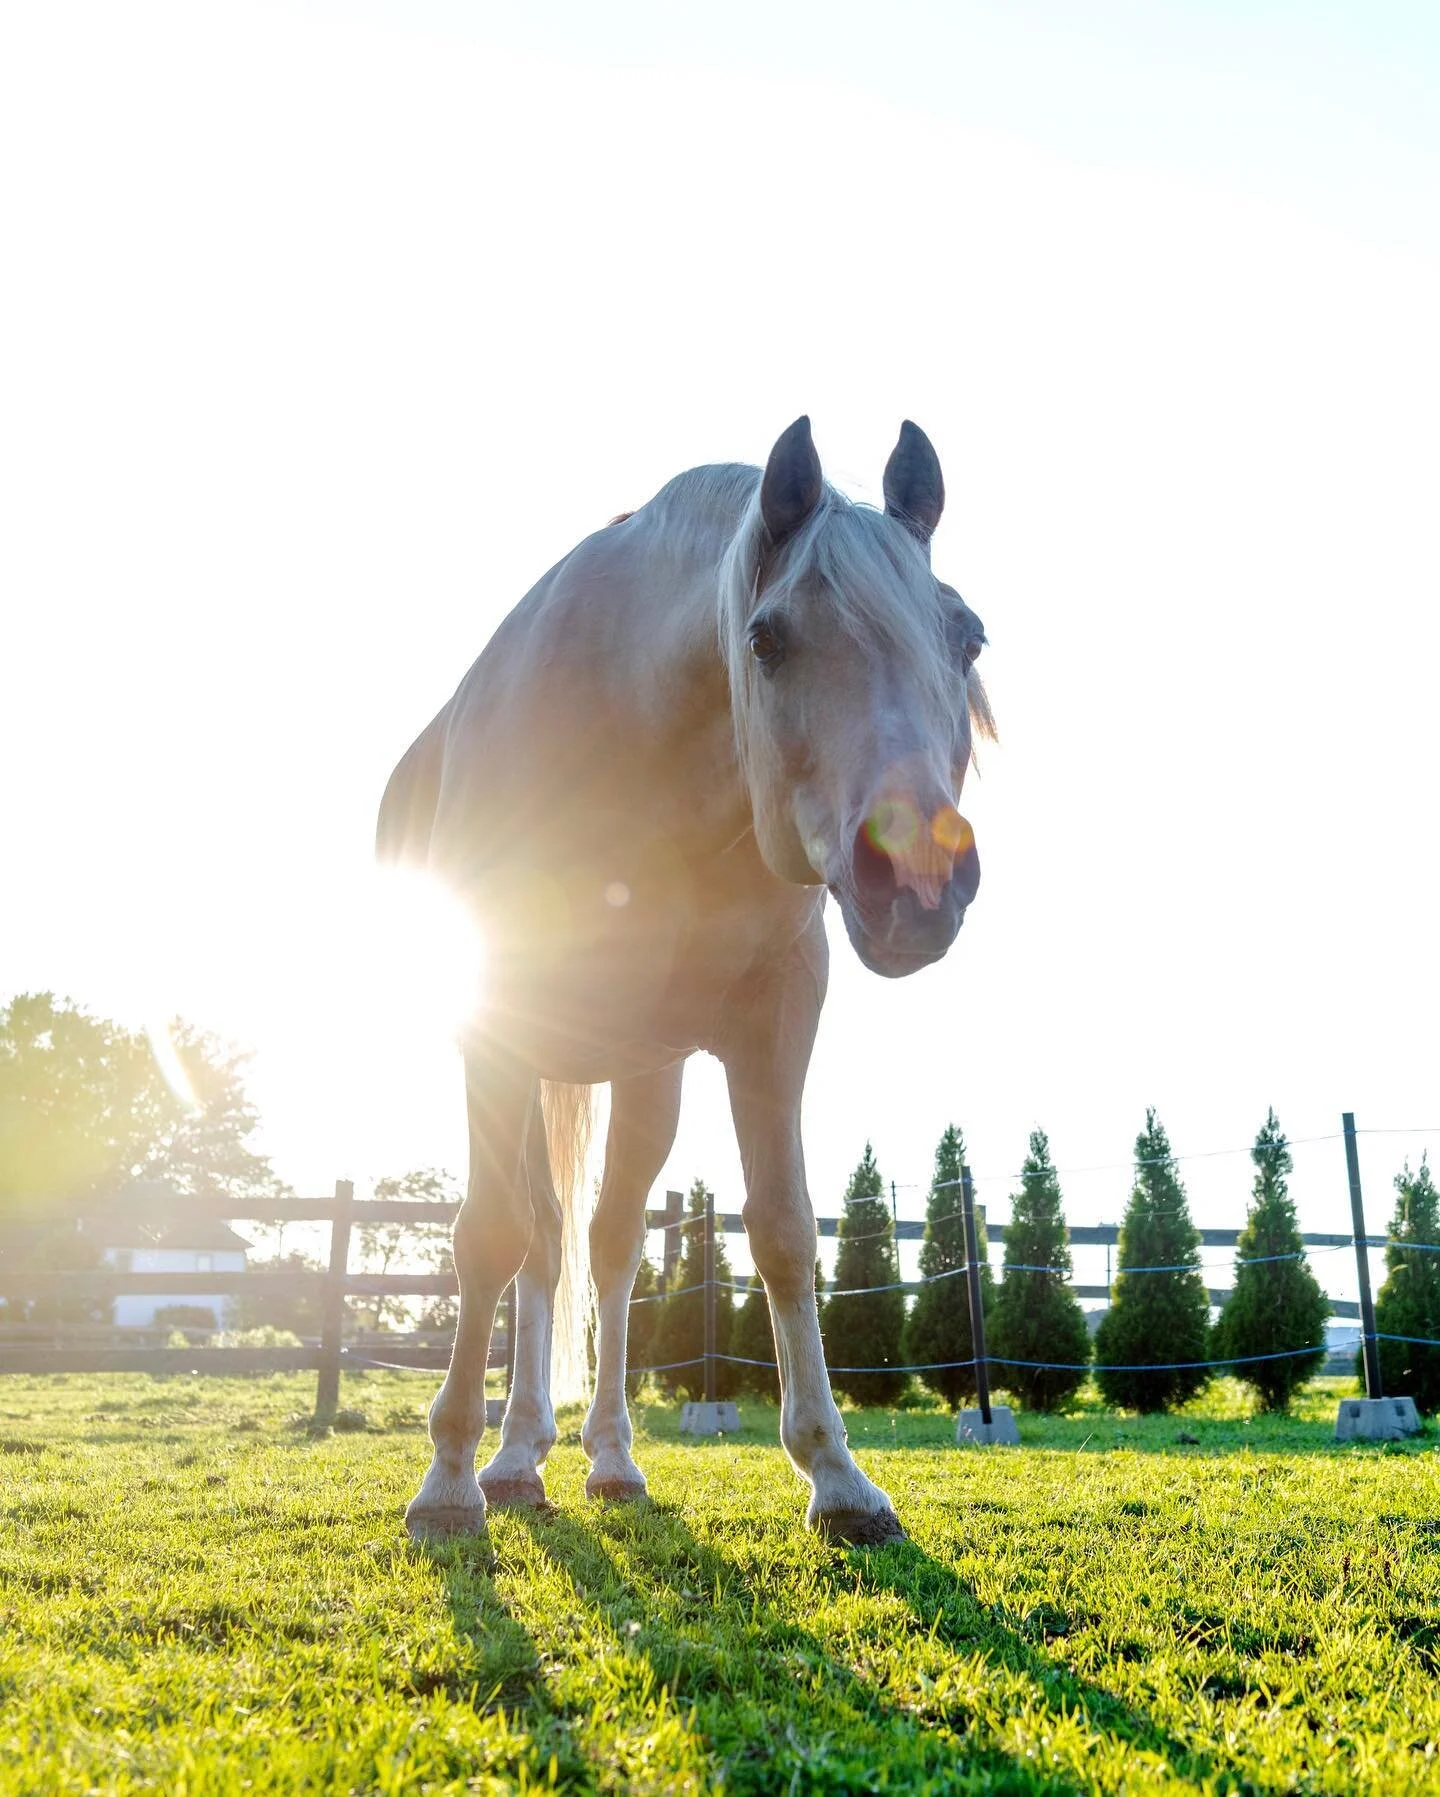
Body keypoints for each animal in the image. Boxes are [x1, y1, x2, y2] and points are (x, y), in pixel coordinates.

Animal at [375, 420, 992, 1545]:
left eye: (967, 637)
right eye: (766, 640)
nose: (919, 876)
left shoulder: (780, 1016)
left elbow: (784, 1231)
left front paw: (838, 1476)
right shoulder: (493, 1025)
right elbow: (486, 1236)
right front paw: (445, 1481)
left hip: (644, 1071)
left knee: (604, 1244)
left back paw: (608, 1459)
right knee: (537, 1242)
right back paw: (511, 1457)